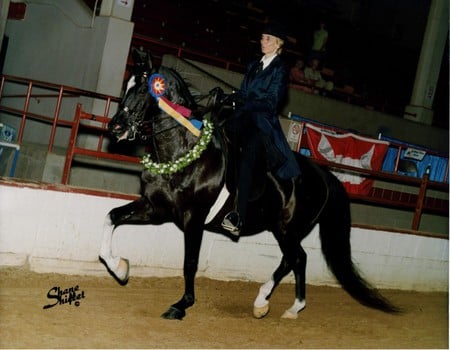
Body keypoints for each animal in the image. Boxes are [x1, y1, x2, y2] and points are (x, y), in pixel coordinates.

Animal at [99, 50, 398, 320]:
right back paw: (283, 306)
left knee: (296, 258)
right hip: (283, 228)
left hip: (288, 228)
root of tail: (325, 175)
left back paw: (272, 303)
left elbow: (190, 262)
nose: (116, 128)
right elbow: (111, 217)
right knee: (295, 259)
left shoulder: (194, 219)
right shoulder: (155, 209)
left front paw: (181, 305)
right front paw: (120, 268)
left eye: (142, 89)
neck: (184, 154)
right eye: (127, 85)